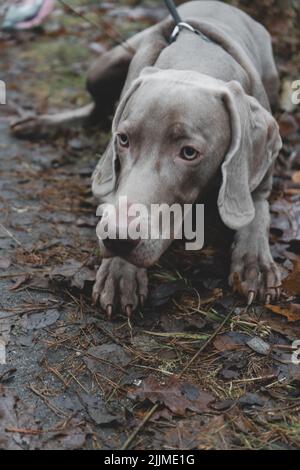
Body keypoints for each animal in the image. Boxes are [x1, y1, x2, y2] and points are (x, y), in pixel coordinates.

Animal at [11, 1, 282, 318]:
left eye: (189, 152)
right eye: (123, 139)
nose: (117, 238)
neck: (196, 58)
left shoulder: (260, 178)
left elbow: (256, 212)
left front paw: (256, 263)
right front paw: (120, 273)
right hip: (105, 65)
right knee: (95, 110)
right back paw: (41, 124)